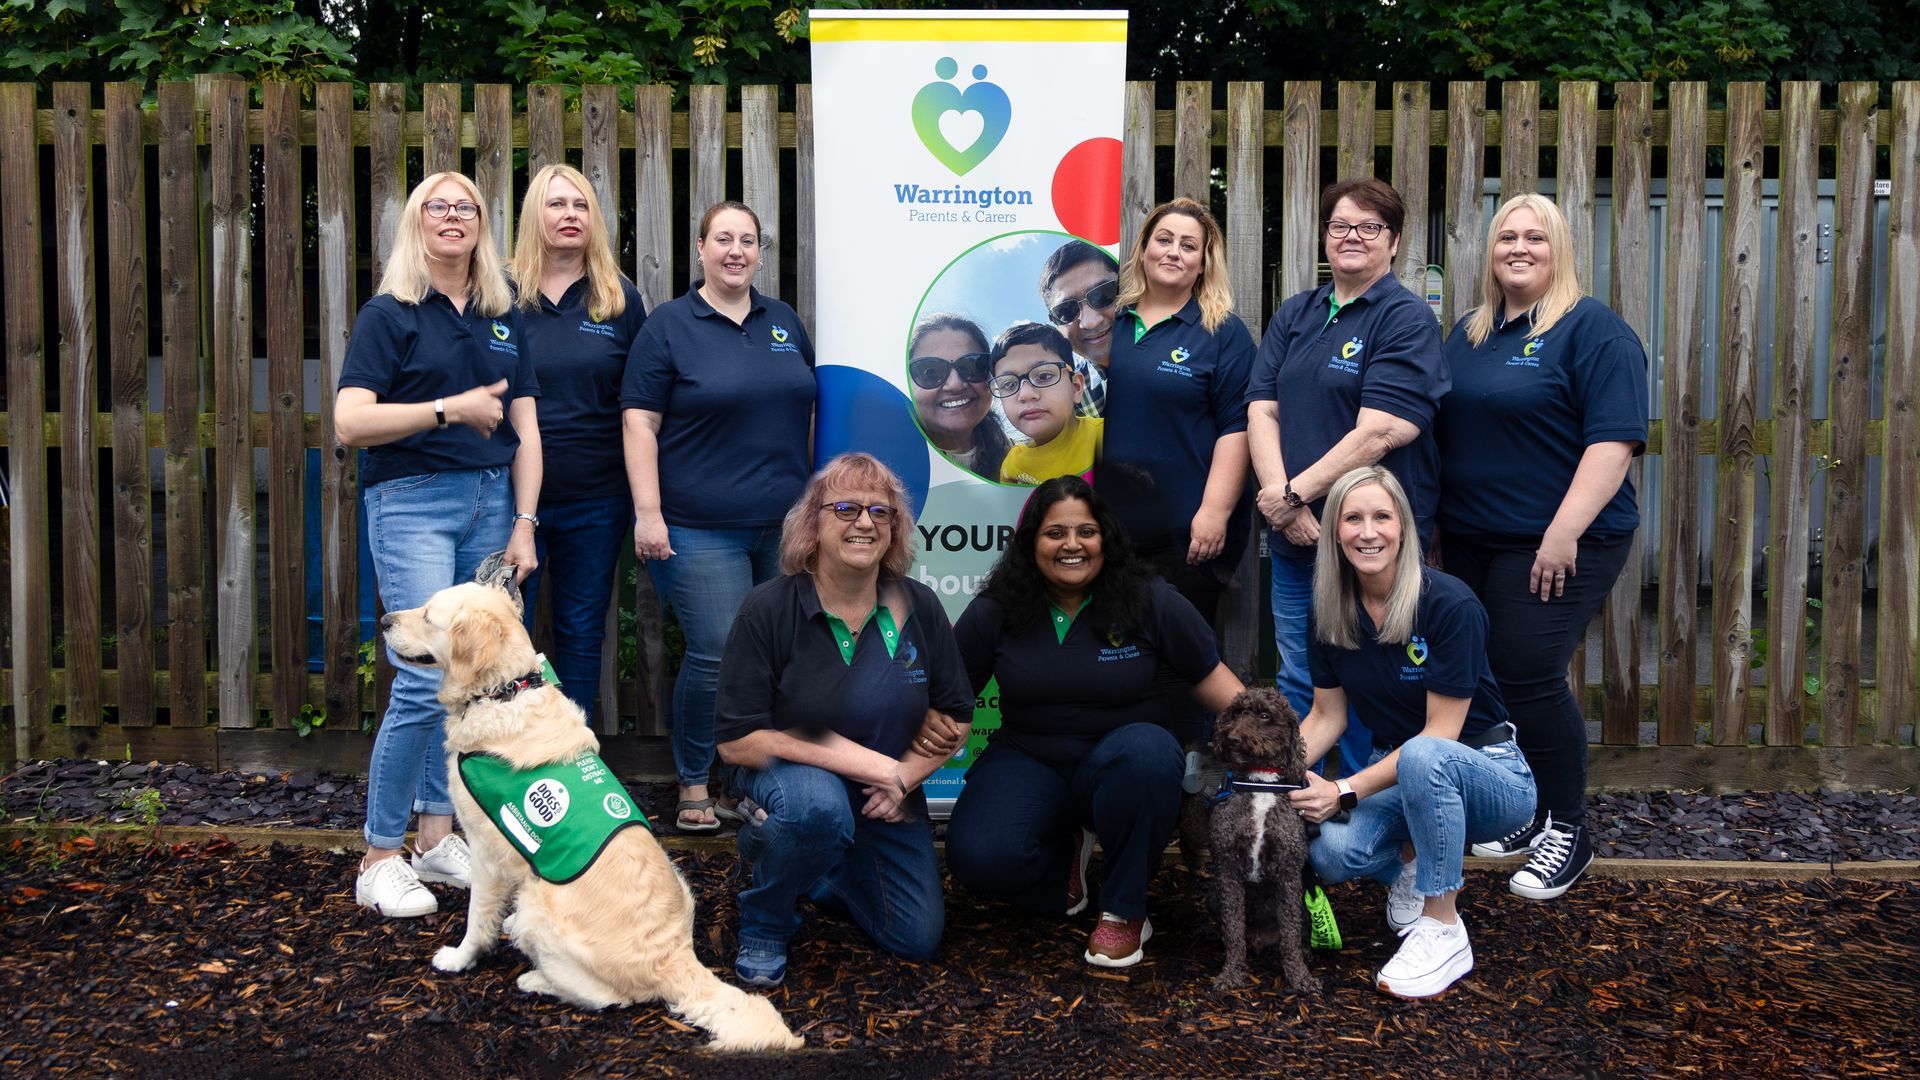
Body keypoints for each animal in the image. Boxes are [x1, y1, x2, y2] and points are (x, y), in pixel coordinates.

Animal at [382, 580, 802, 1053]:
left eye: (428, 616)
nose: (383, 621)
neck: (505, 690)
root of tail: (674, 958)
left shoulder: (486, 851)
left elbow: (477, 918)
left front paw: (458, 958)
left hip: (541, 907)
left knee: (610, 998)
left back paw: (535, 979)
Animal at [1213, 684, 1320, 991]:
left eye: (1264, 716)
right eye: (1236, 713)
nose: (1232, 738)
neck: (1259, 782)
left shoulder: (1288, 873)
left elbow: (1291, 935)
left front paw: (1299, 977)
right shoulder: (1228, 871)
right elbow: (1234, 930)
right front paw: (1231, 973)